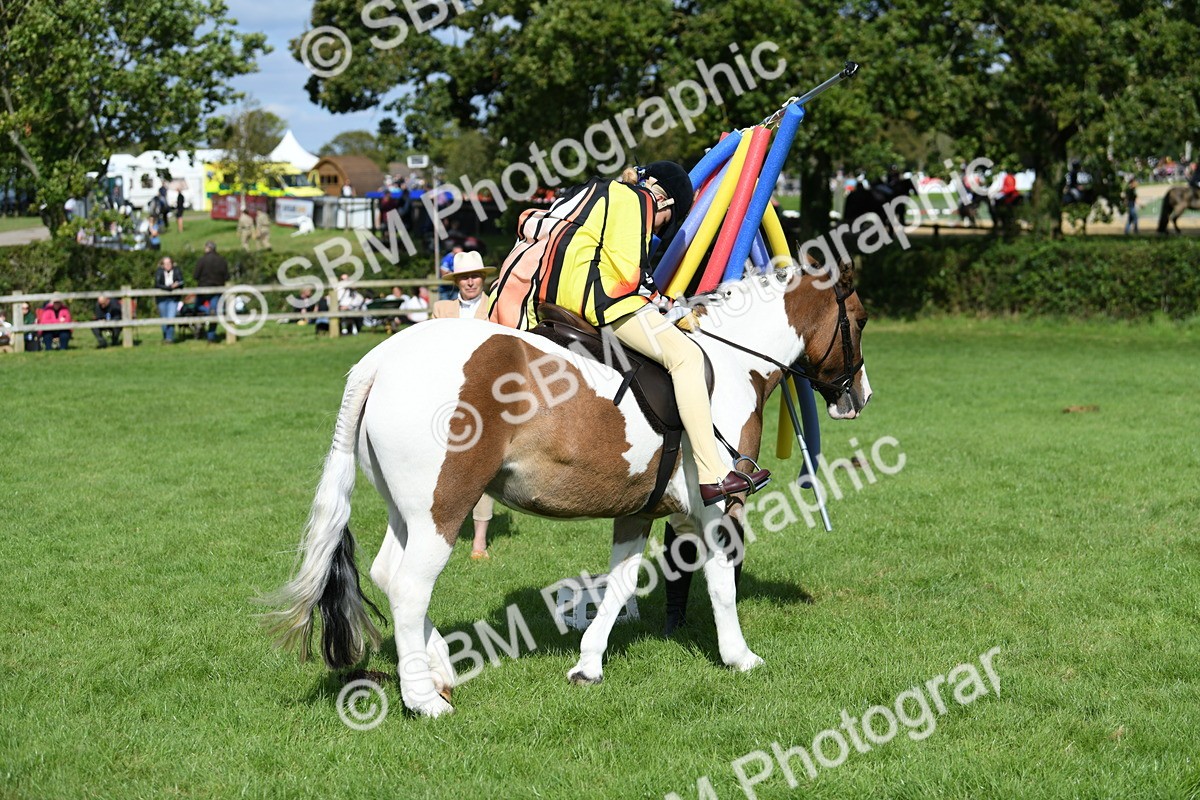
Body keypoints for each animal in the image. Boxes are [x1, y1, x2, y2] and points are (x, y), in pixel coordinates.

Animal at [265, 262, 872, 718]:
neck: (729, 363)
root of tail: (383, 358)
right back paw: (424, 699)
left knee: (389, 575)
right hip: (445, 507)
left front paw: (588, 665)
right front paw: (739, 657)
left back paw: (439, 670)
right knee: (411, 588)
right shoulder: (716, 506)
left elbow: (620, 585)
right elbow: (721, 582)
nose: (859, 396)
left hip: (408, 512)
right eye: (859, 321)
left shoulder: (640, 511)